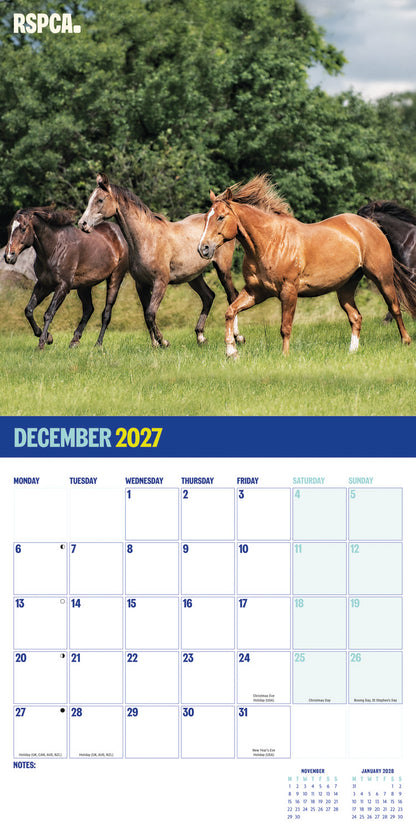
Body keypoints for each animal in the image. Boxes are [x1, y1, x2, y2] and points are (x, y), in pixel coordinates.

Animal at [5, 207, 129, 349]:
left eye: (23, 228)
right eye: (9, 228)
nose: (8, 256)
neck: (55, 247)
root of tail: (120, 235)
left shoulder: (62, 287)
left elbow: (49, 313)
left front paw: (42, 343)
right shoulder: (44, 285)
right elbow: (29, 310)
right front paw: (47, 337)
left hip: (115, 279)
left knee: (106, 313)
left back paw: (98, 344)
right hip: (84, 287)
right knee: (88, 309)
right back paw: (74, 341)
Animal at [78, 174, 243, 347]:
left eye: (100, 200)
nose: (82, 224)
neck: (147, 239)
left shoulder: (160, 282)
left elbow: (151, 313)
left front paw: (163, 341)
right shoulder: (141, 285)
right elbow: (146, 314)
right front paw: (155, 344)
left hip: (223, 269)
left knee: (232, 296)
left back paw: (237, 337)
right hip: (194, 277)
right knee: (208, 296)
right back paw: (200, 337)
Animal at [197, 175, 416, 359]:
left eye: (221, 217)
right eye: (207, 217)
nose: (203, 248)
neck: (271, 242)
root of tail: (370, 225)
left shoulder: (289, 291)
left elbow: (285, 327)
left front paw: (285, 356)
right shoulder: (255, 291)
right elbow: (230, 311)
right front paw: (231, 352)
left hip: (382, 278)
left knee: (395, 308)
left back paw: (405, 341)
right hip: (345, 288)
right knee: (356, 317)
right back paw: (352, 351)